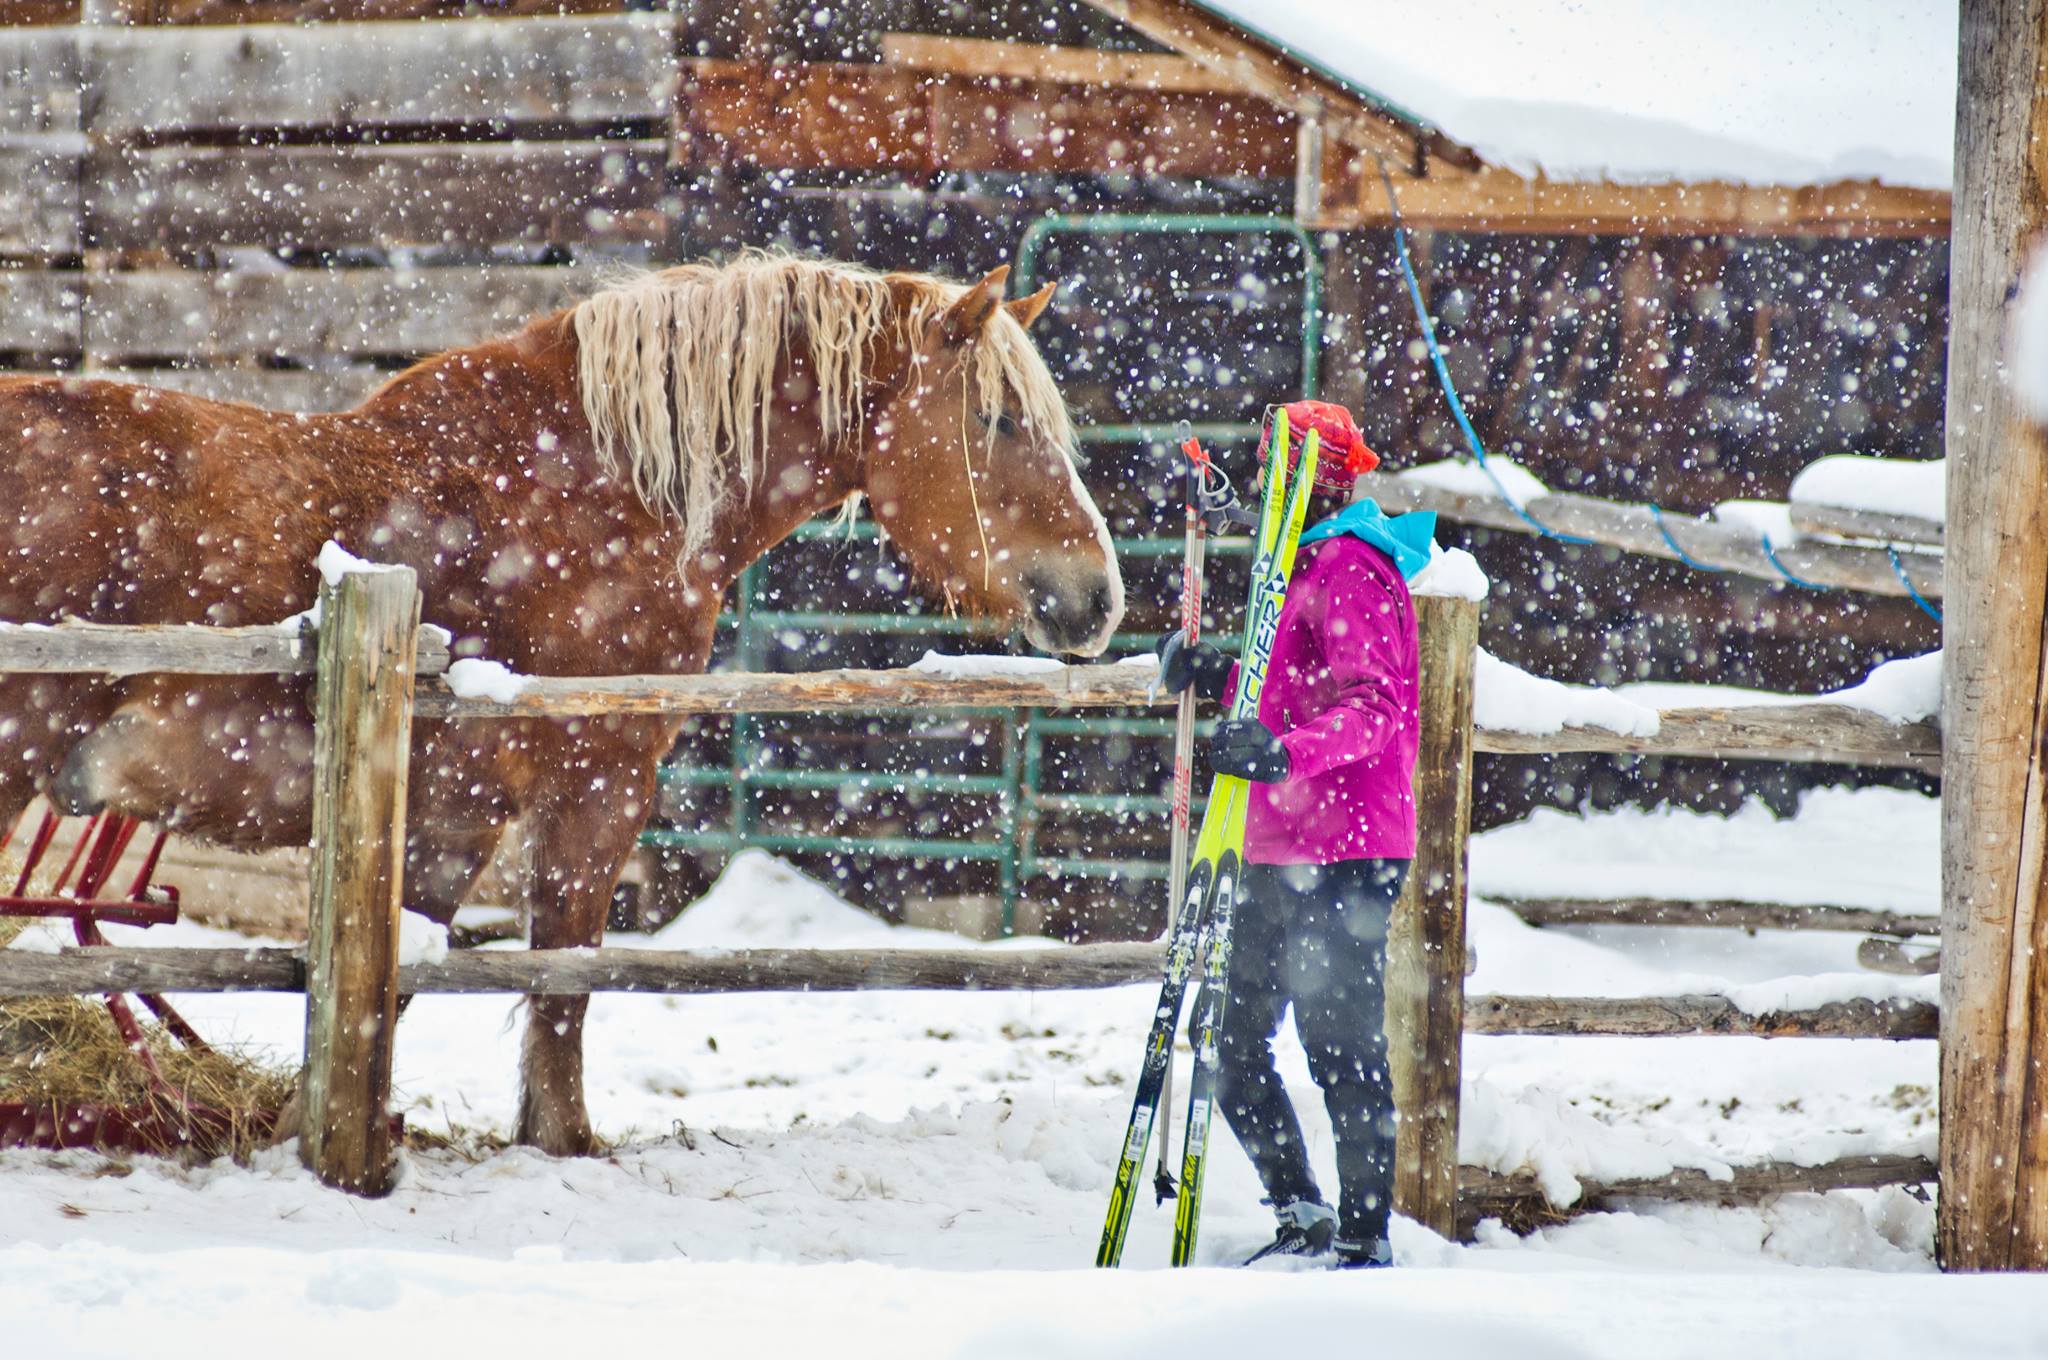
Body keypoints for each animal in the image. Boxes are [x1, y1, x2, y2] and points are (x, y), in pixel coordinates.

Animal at [0, 251, 1125, 1155]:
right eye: (994, 418)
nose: (1098, 598)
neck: (602, 492)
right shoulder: (596, 791)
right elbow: (561, 981)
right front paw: (560, 1140)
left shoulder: (446, 823)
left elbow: (394, 986)